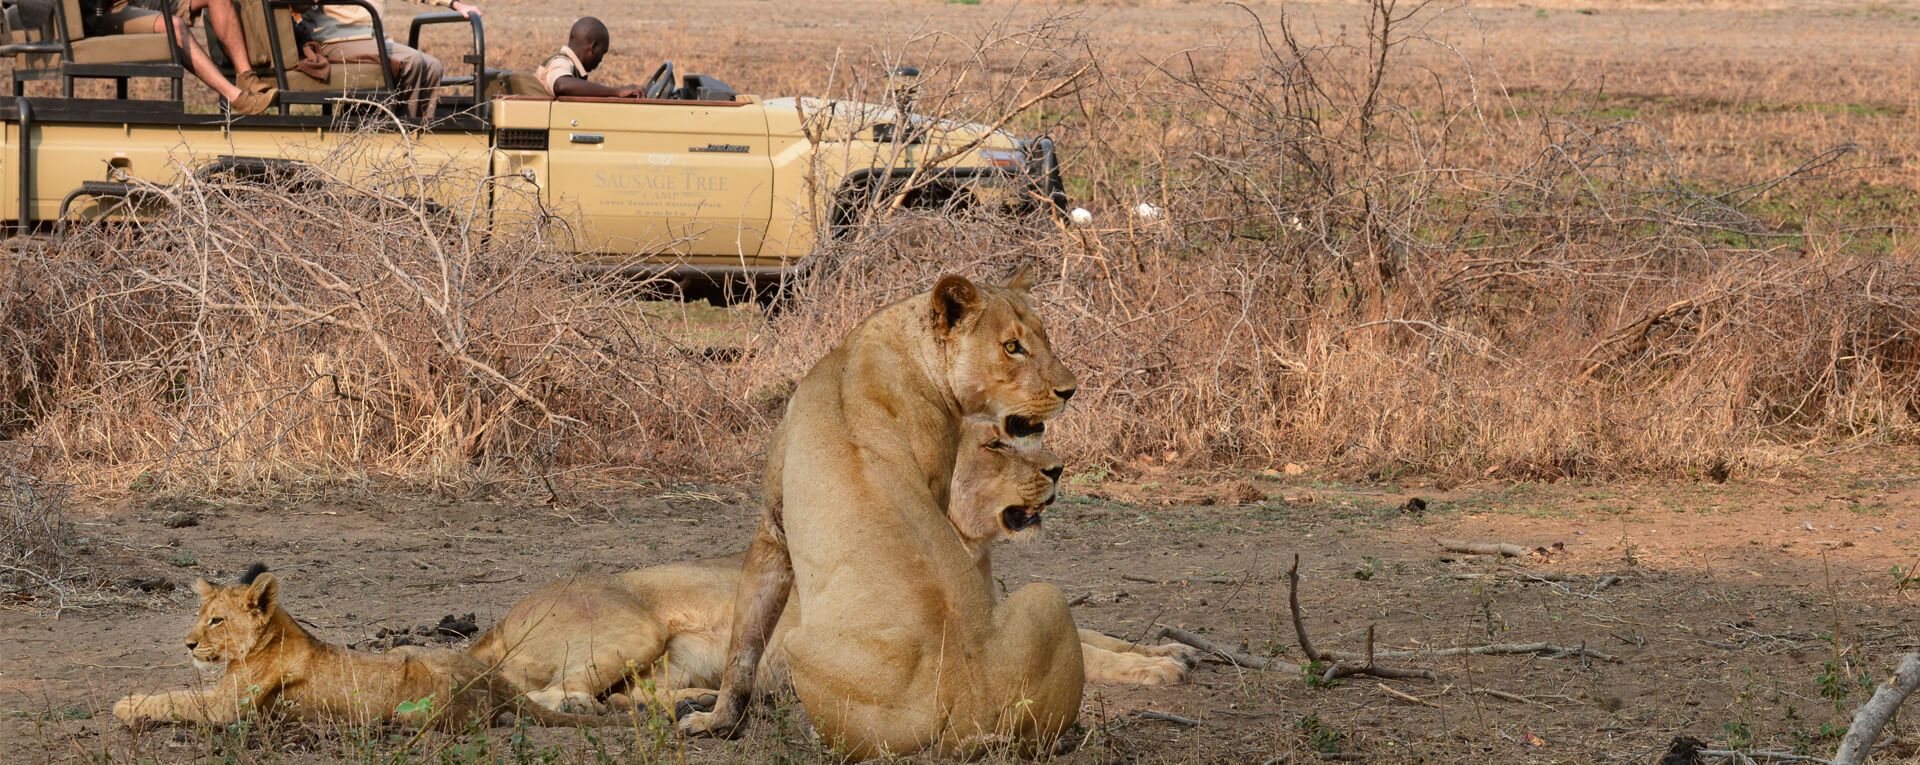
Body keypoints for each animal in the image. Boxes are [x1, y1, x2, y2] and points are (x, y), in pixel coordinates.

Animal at [114, 565, 606, 730]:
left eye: (217, 620)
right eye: (201, 615)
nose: (188, 643)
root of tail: (491, 679)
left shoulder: (223, 709)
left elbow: (176, 699)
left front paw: (126, 704)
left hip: (418, 700)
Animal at [472, 419, 1190, 711]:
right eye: (994, 446)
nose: (1059, 469)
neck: (969, 544)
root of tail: (501, 618)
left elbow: (1095, 631)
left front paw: (1170, 650)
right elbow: (1089, 651)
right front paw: (1155, 671)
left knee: (635, 692)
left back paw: (704, 698)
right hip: (631, 629)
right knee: (538, 688)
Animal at [683, 269, 1090, 757]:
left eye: (1043, 338)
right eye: (1012, 346)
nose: (1070, 390)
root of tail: (971, 710)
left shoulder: (774, 525)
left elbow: (745, 640)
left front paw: (720, 720)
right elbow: (744, 640)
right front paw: (718, 722)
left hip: (802, 645)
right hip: (1048, 596)